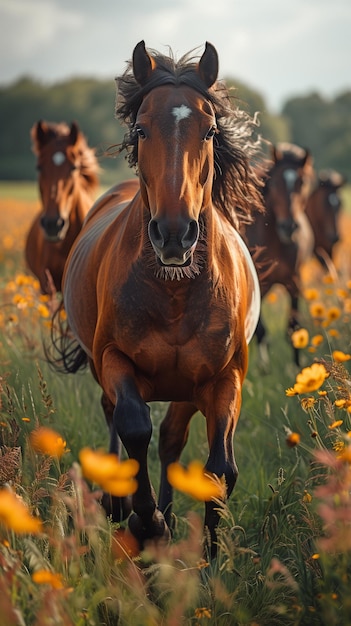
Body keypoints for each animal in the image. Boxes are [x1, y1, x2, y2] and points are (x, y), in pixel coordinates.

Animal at [53, 40, 264, 556]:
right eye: (141, 128)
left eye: (210, 130)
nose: (173, 233)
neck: (175, 293)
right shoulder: (114, 359)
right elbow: (133, 425)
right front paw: (145, 522)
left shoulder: (224, 377)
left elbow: (218, 470)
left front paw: (209, 560)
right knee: (118, 417)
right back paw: (121, 505)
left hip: (186, 390)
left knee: (171, 439)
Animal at [245, 141, 316, 366]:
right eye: (275, 184)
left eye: (302, 183)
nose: (289, 227)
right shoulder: (258, 283)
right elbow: (261, 330)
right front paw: (264, 367)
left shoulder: (294, 281)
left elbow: (293, 326)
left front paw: (297, 367)